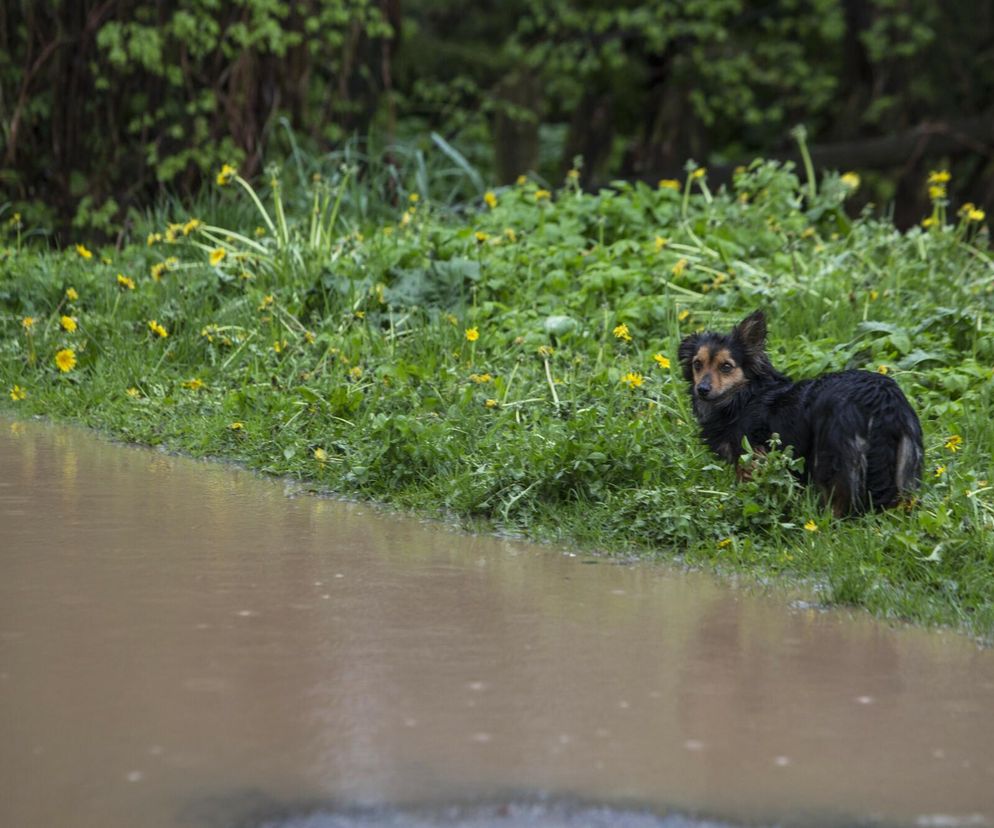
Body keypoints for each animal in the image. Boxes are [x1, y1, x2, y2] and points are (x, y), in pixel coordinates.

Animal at [676, 310, 924, 516]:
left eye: (726, 367)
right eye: (697, 364)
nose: (702, 389)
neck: (744, 397)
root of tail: (881, 395)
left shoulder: (750, 457)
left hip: (832, 453)